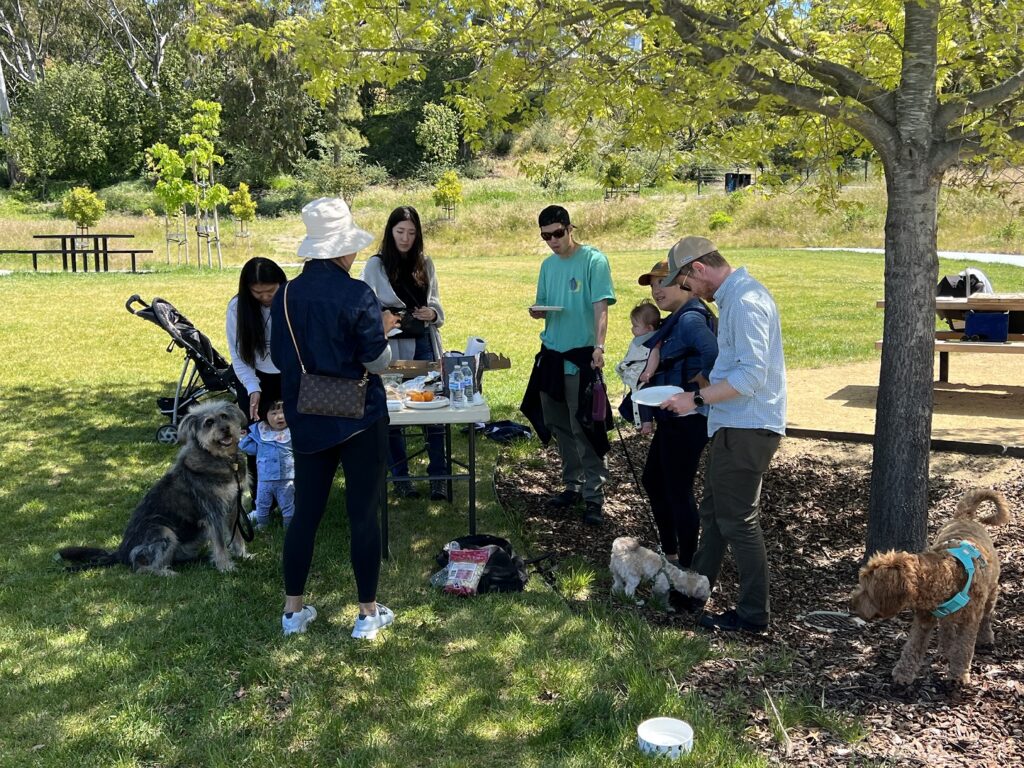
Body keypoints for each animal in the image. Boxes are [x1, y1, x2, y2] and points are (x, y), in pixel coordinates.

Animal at [59, 401, 249, 576]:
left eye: (224, 416)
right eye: (209, 422)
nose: (226, 429)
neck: (220, 459)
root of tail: (120, 553)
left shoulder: (233, 505)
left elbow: (237, 535)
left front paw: (243, 555)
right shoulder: (213, 513)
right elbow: (220, 544)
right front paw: (225, 566)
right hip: (163, 531)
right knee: (141, 568)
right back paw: (166, 572)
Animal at [848, 488, 1011, 686]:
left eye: (867, 589)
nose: (851, 604)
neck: (945, 573)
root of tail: (964, 517)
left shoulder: (969, 620)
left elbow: (963, 649)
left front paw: (958, 675)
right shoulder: (924, 619)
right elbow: (912, 647)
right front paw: (903, 672)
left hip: (991, 592)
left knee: (986, 616)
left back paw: (986, 637)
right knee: (946, 628)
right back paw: (944, 650)